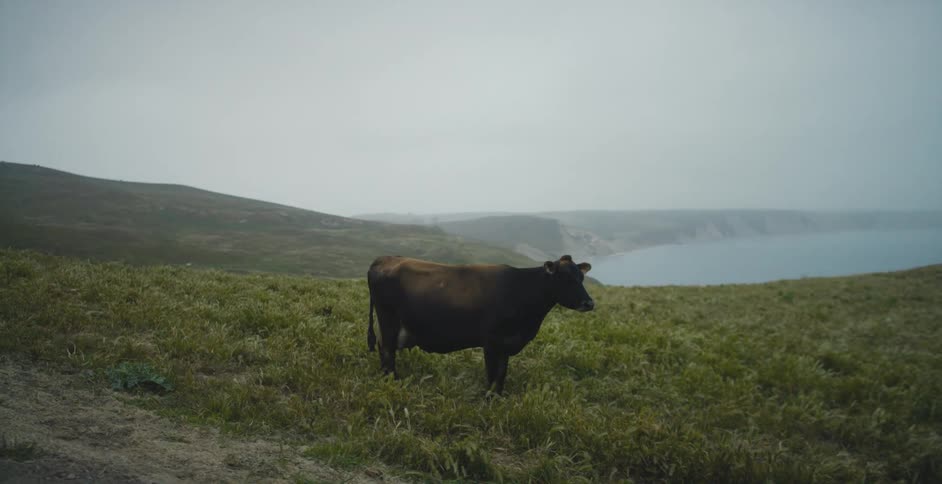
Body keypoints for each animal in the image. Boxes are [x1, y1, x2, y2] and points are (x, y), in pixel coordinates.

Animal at [366, 254, 595, 394]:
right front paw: (489, 398)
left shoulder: (506, 344)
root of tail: (384, 258)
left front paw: (499, 398)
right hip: (388, 319)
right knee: (387, 350)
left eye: (581, 277)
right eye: (565, 278)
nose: (589, 303)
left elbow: (501, 374)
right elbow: (492, 374)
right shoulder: (492, 342)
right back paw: (393, 380)